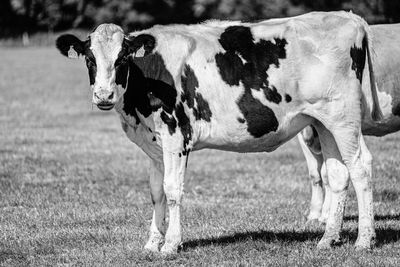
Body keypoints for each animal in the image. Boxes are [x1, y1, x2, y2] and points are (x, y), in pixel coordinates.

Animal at [55, 11, 378, 254]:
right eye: (90, 59)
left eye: (122, 59)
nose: (104, 95)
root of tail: (347, 17)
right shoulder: (155, 145)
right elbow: (157, 193)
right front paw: (151, 243)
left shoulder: (176, 136)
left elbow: (173, 190)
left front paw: (170, 244)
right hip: (323, 122)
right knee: (338, 173)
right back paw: (328, 238)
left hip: (343, 118)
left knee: (361, 168)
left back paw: (364, 239)